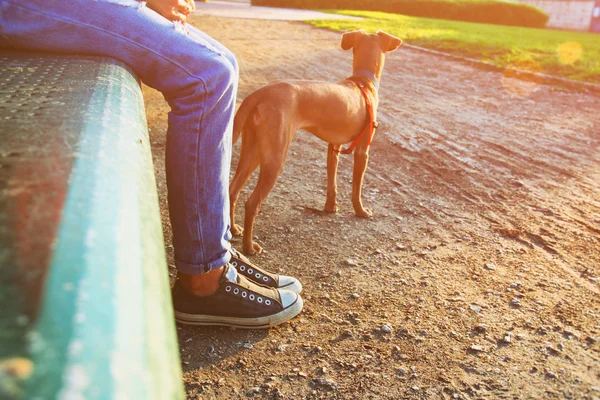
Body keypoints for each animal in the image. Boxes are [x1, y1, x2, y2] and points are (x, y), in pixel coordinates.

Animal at [230, 29, 404, 255]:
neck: (362, 82)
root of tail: (258, 94)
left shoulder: (333, 147)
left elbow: (332, 183)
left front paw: (330, 207)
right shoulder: (362, 151)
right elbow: (356, 189)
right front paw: (360, 211)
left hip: (252, 152)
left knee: (231, 191)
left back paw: (233, 229)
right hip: (274, 160)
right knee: (252, 204)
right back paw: (249, 247)